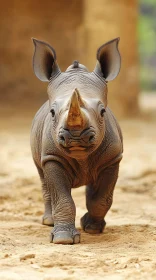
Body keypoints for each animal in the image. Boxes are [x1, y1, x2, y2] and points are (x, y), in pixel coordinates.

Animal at [30, 36, 123, 243]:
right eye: (52, 112)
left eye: (102, 111)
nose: (76, 137)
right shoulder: (52, 157)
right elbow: (63, 198)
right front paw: (63, 239)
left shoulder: (112, 159)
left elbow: (102, 199)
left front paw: (92, 228)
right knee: (42, 177)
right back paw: (48, 221)